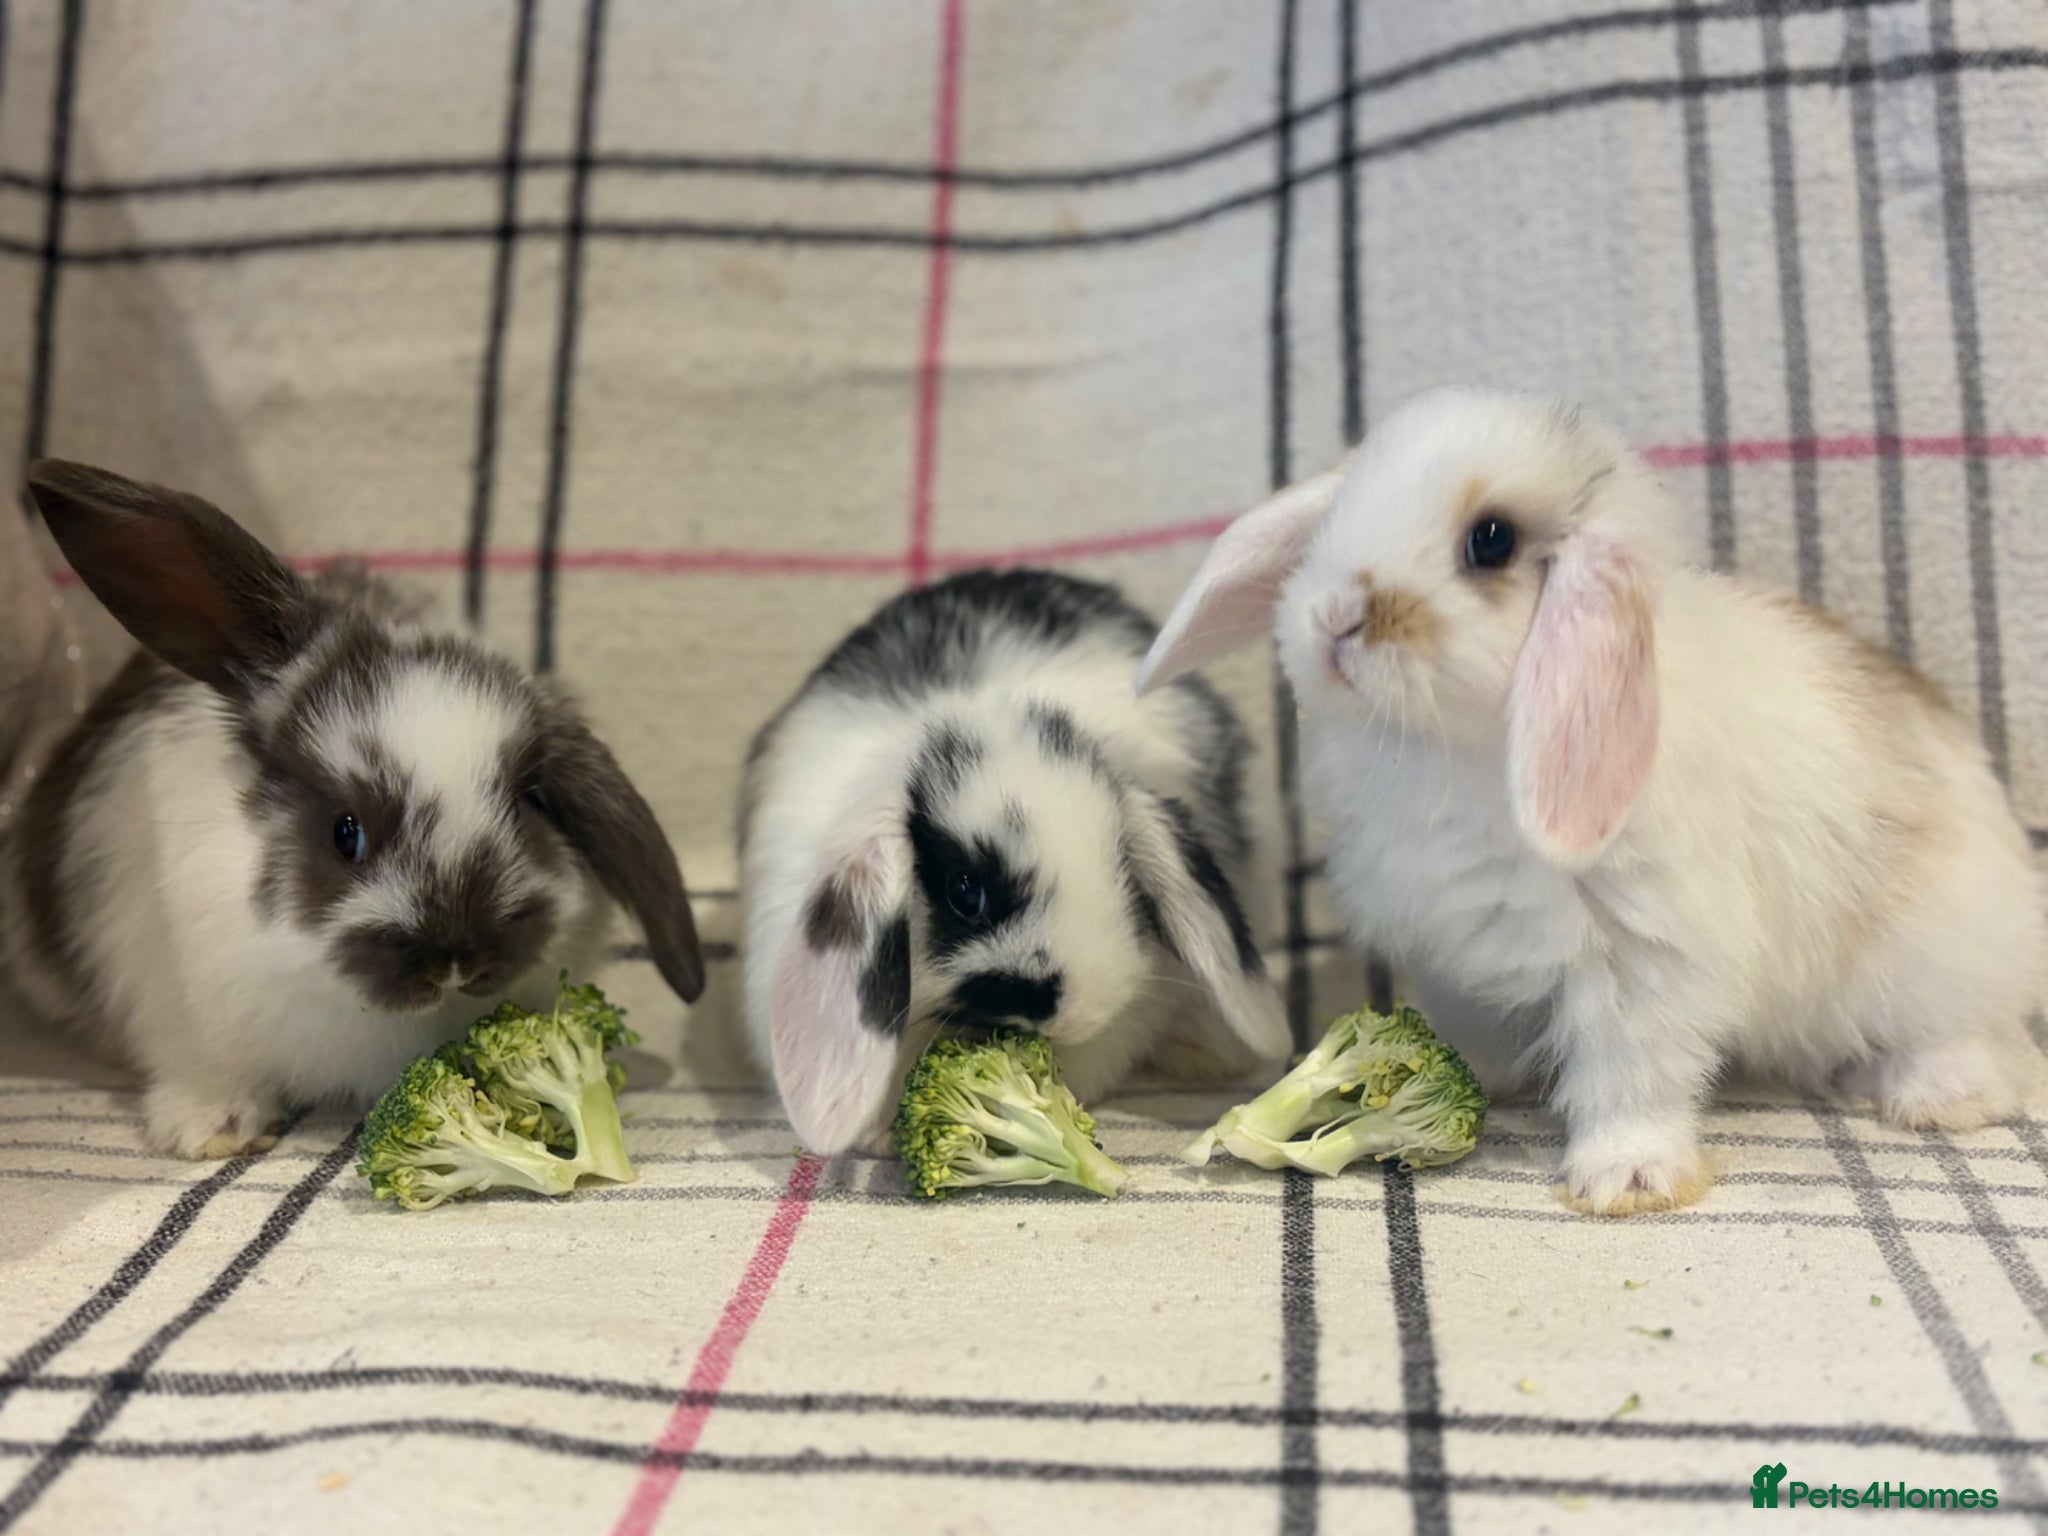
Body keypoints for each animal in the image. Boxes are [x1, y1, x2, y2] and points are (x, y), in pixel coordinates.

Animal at [1138, 386, 2046, 1216]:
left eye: (1491, 541)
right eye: (1342, 508)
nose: (1334, 616)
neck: (1461, 751)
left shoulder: (1643, 957)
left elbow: (1630, 1075)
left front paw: (1626, 1179)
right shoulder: (1459, 955)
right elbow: (1477, 1026)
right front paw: (1484, 1077)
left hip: (1928, 961)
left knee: (1986, 1040)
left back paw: (1931, 1095)